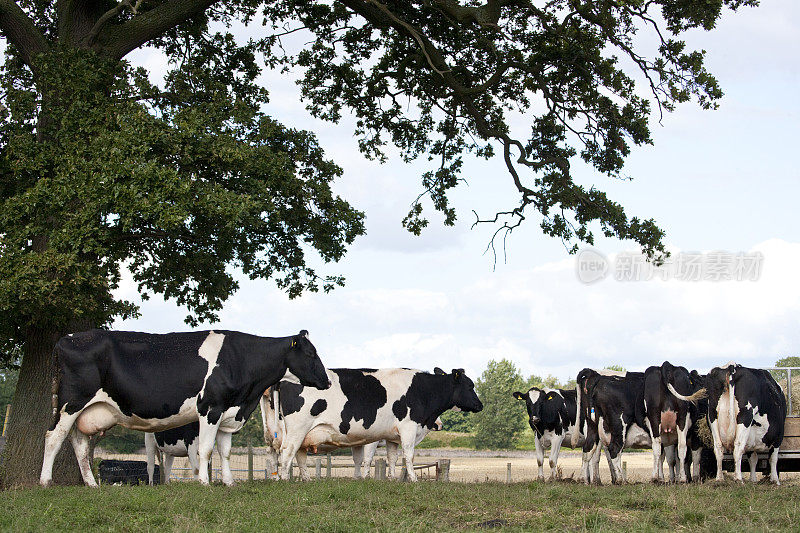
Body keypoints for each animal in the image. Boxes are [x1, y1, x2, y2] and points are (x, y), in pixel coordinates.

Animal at [39, 326, 328, 484]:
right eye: (311, 353)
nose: (326, 381)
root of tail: (67, 339)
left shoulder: (228, 413)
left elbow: (224, 452)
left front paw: (229, 482)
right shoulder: (210, 408)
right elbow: (205, 451)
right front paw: (205, 483)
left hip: (84, 412)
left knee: (78, 444)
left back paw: (91, 485)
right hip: (70, 403)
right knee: (54, 437)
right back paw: (45, 481)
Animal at [262, 368, 482, 480]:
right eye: (470, 385)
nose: (480, 405)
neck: (423, 390)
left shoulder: (392, 435)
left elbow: (392, 458)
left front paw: (392, 479)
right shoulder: (408, 427)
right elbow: (407, 455)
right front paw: (412, 479)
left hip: (279, 432)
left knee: (280, 454)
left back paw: (295, 479)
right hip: (297, 428)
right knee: (287, 452)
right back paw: (285, 480)